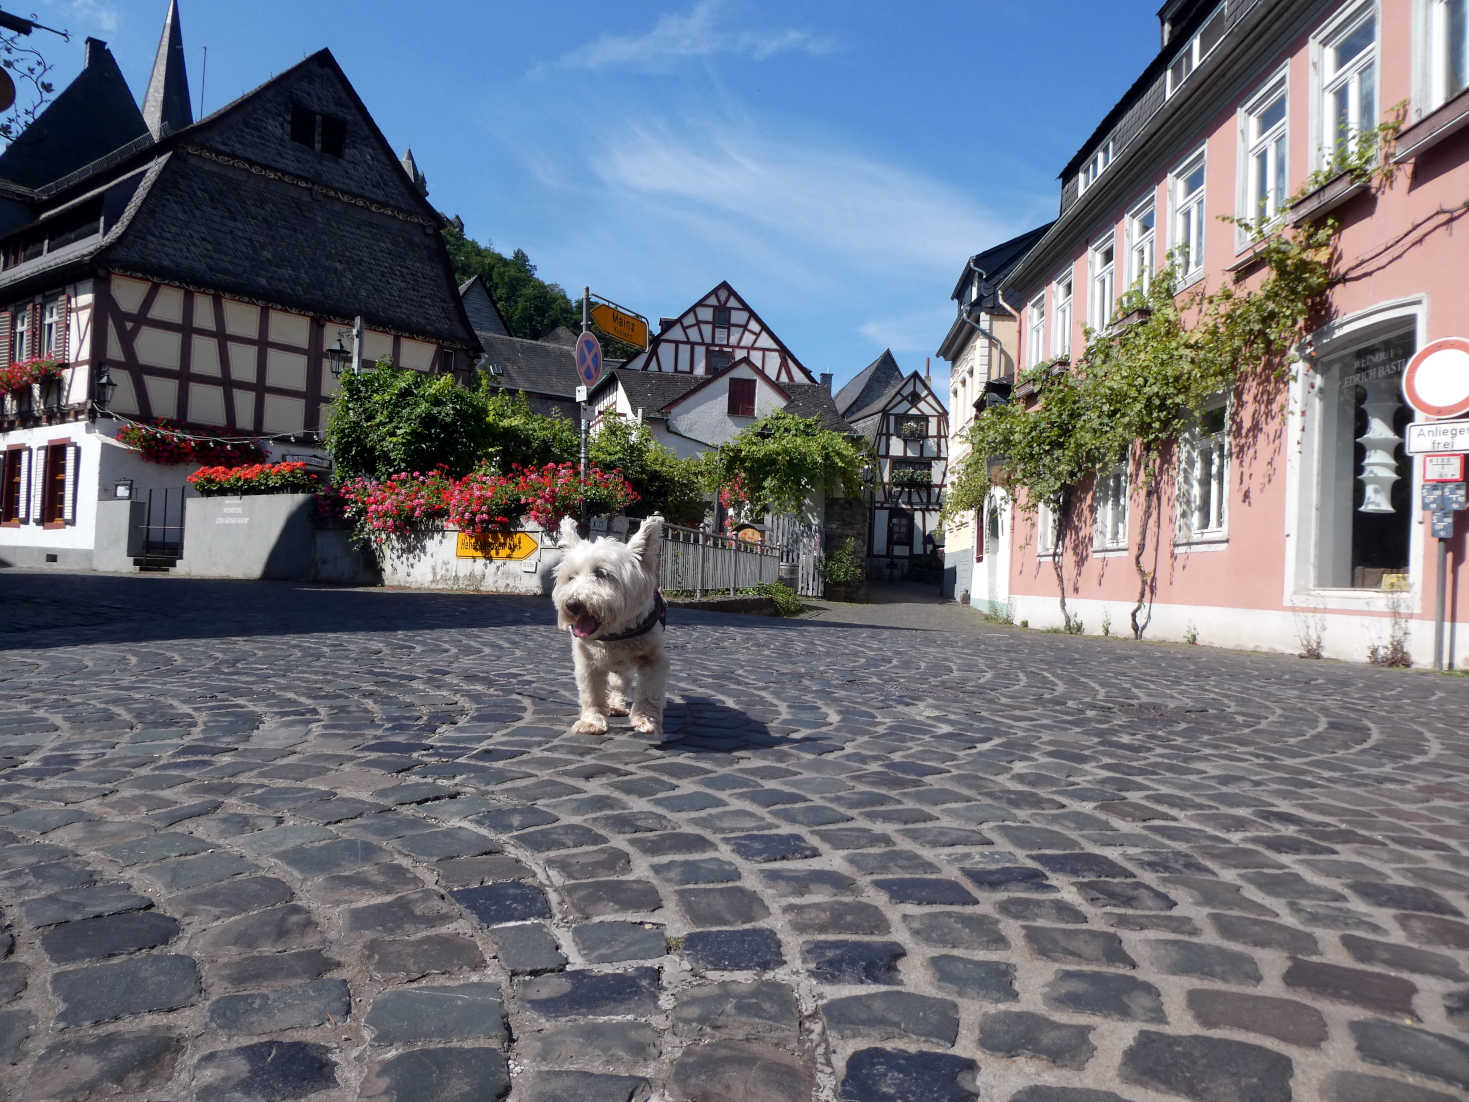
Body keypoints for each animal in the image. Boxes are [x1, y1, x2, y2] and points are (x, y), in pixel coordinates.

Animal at [549, 517, 669, 743]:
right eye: (571, 577)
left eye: (602, 573)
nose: (572, 604)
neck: (616, 632)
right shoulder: (587, 661)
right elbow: (592, 693)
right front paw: (592, 722)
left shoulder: (653, 659)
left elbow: (649, 692)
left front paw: (646, 720)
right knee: (617, 682)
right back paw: (614, 705)